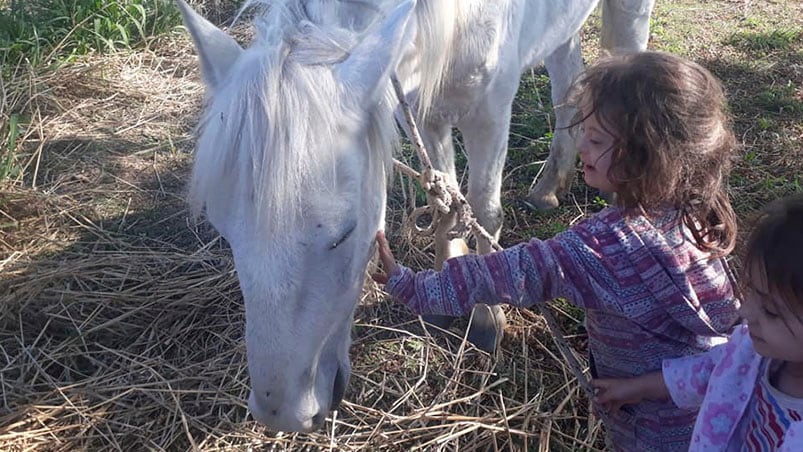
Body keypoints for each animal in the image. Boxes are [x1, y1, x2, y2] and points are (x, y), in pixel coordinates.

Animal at [181, 0, 652, 432]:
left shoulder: (489, 115)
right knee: (566, 78)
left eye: (344, 233)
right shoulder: (421, 110)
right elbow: (445, 198)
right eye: (225, 232)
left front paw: (486, 315)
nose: (284, 415)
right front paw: (447, 289)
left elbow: (483, 208)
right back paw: (550, 186)